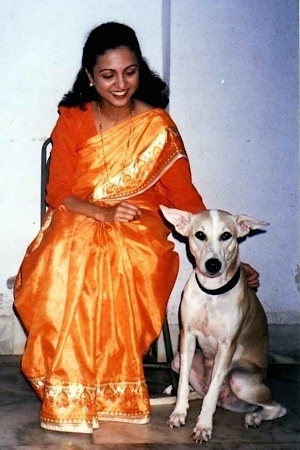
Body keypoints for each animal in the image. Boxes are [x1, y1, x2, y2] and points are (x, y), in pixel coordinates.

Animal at [159, 207, 286, 442]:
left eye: (226, 235)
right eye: (200, 235)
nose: (213, 264)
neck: (212, 293)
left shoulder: (227, 346)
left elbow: (213, 390)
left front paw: (203, 426)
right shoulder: (187, 336)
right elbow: (182, 385)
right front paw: (178, 413)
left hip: (240, 379)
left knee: (277, 407)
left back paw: (254, 417)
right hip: (177, 360)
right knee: (197, 389)